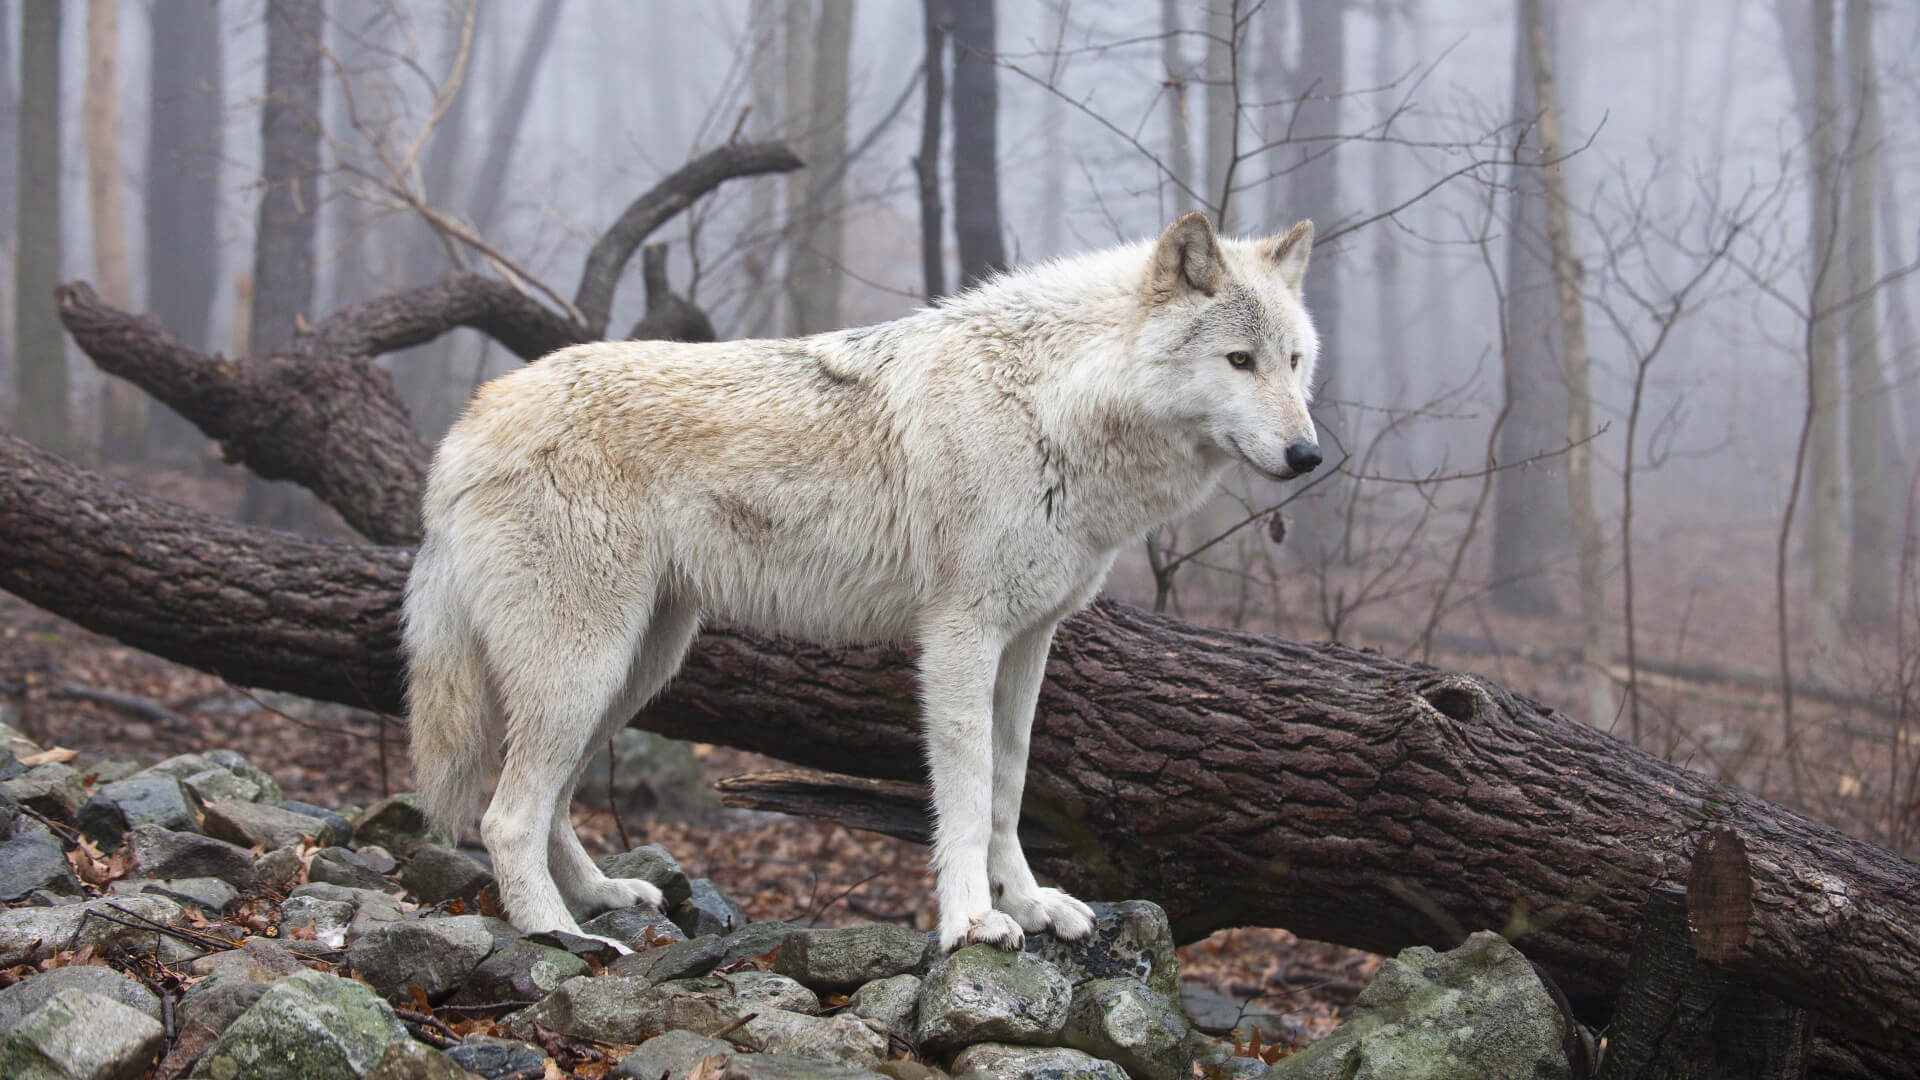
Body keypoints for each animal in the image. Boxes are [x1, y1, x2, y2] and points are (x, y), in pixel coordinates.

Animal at [405, 212, 1320, 949]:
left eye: (1296, 361)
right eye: (1239, 361)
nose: (1310, 454)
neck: (1052, 406)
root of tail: (465, 424)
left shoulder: (1030, 642)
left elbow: (1008, 785)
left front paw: (1028, 906)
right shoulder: (959, 638)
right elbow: (963, 793)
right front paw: (971, 923)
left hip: (635, 669)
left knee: (552, 804)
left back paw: (600, 896)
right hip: (585, 666)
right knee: (506, 815)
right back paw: (558, 936)